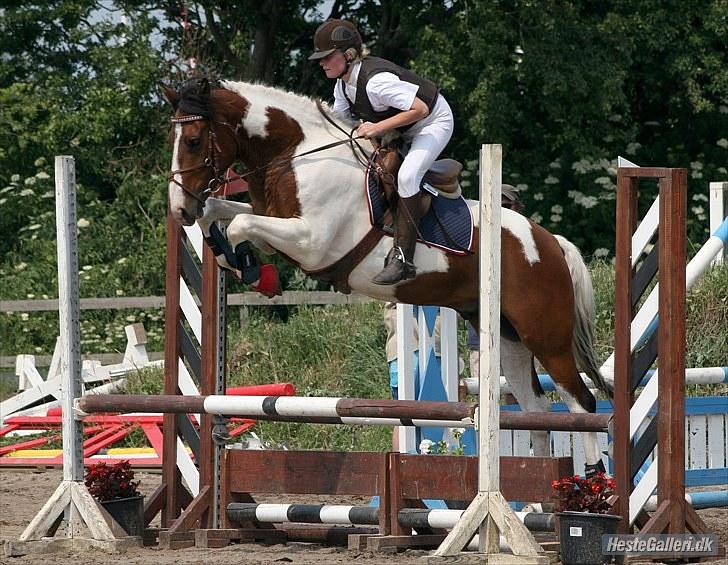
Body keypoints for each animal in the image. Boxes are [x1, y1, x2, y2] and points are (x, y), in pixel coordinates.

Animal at [162, 77, 612, 474]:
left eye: (194, 140)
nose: (179, 208)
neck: (298, 155)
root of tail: (550, 242)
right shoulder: (277, 224)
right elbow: (220, 214)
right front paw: (236, 260)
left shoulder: (311, 240)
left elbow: (239, 225)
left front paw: (256, 273)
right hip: (507, 336)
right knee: (537, 411)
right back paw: (532, 495)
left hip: (545, 336)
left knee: (580, 405)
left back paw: (591, 482)